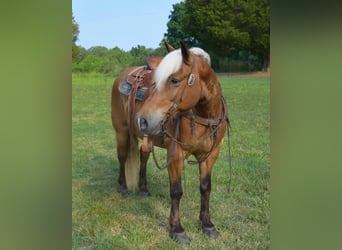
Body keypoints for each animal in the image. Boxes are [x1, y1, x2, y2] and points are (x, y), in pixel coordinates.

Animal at [111, 41, 230, 244]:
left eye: (174, 80)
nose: (142, 120)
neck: (204, 117)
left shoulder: (210, 155)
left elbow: (205, 188)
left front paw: (207, 224)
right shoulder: (176, 154)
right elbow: (176, 191)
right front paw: (177, 229)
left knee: (143, 156)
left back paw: (143, 189)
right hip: (122, 132)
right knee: (122, 156)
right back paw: (123, 188)